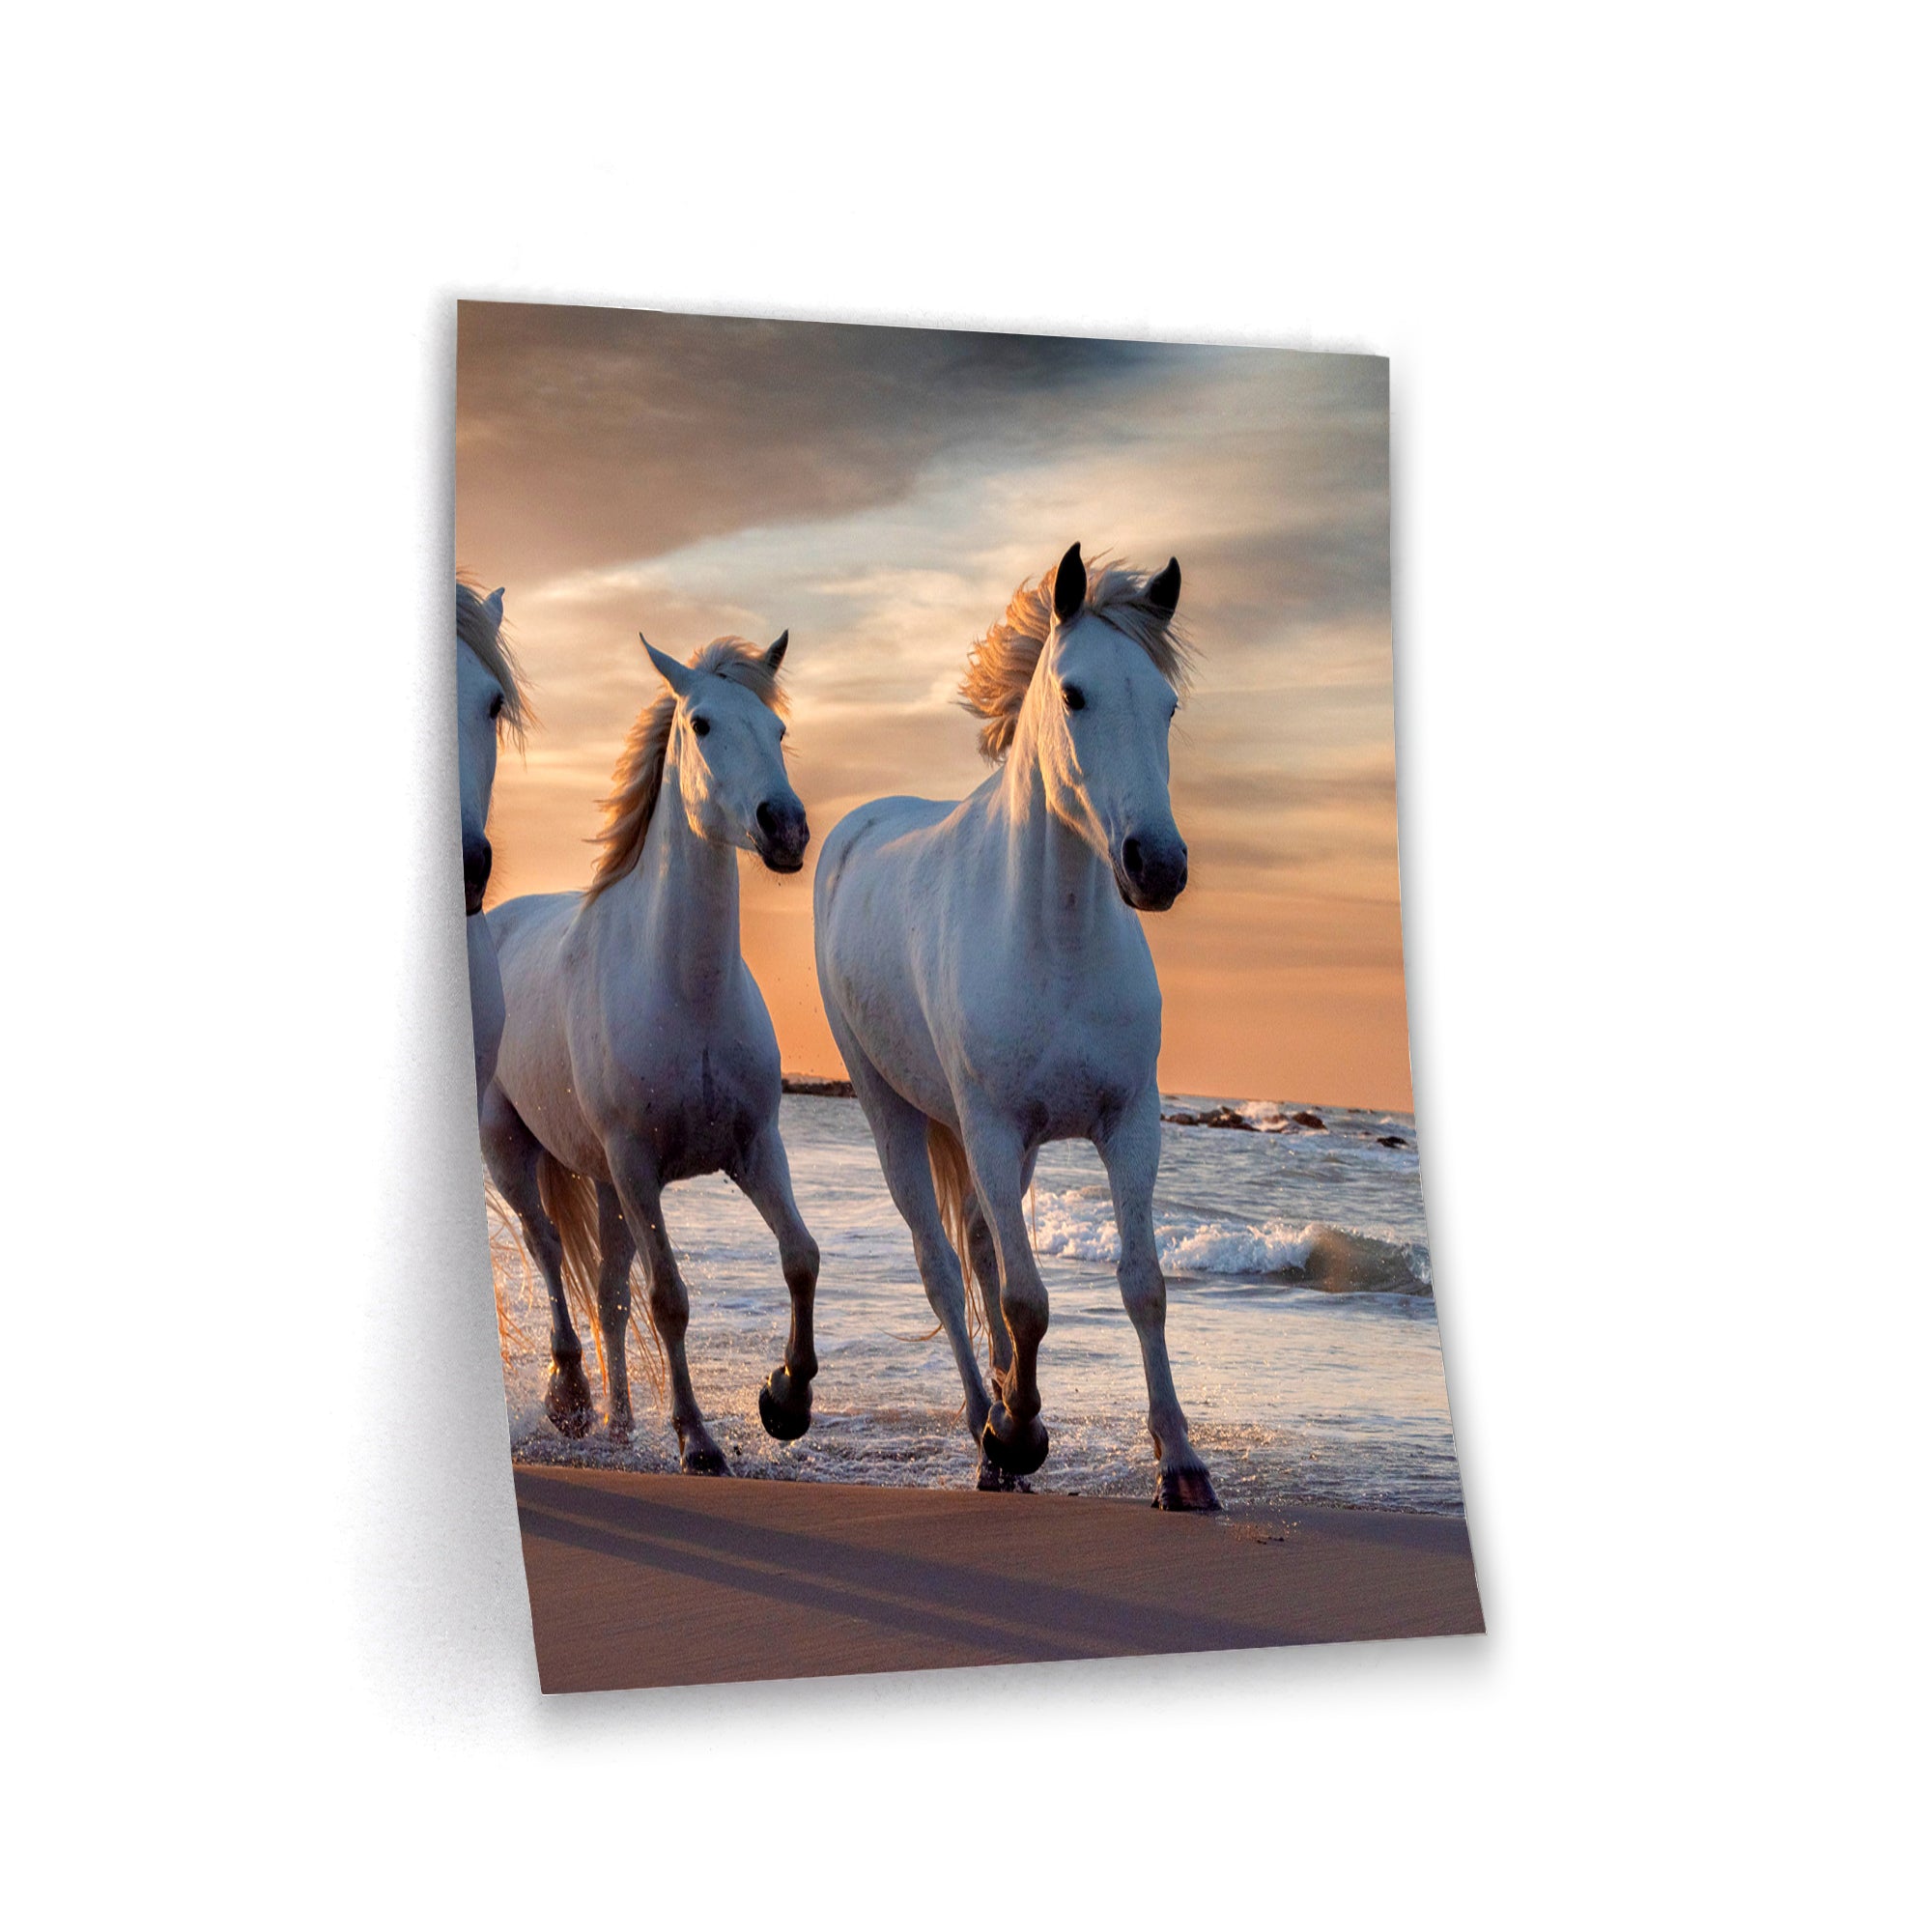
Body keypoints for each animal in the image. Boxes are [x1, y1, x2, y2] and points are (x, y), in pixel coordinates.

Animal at [480, 629, 822, 1463]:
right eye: (701, 724)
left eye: (779, 730)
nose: (785, 827)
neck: (684, 991)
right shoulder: (638, 1164)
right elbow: (669, 1300)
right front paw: (698, 1440)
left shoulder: (755, 1148)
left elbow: (800, 1258)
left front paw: (786, 1399)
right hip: (515, 1152)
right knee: (548, 1254)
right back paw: (571, 1398)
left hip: (606, 1185)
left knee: (605, 1290)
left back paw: (619, 1423)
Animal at [815, 542, 1219, 1510]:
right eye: (1073, 695)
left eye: (1167, 704)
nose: (1158, 865)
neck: (1055, 940)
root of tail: (860, 826)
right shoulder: (993, 1130)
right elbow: (1027, 1299)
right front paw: (1021, 1430)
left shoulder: (1128, 1124)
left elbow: (1142, 1285)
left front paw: (1181, 1463)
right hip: (893, 1112)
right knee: (939, 1264)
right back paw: (987, 1428)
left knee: (980, 1251)